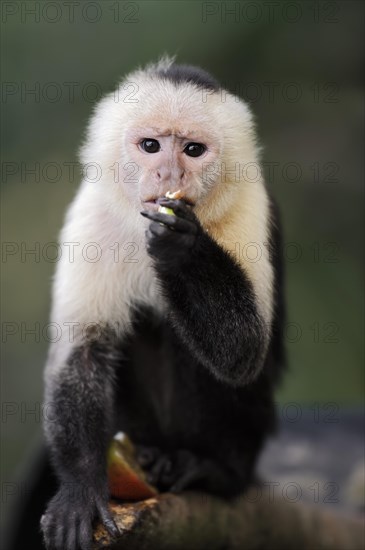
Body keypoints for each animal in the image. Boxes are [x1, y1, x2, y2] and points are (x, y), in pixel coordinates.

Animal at [39, 58, 284, 548]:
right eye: (150, 146)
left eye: (193, 150)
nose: (170, 177)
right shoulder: (91, 212)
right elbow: (83, 351)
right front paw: (80, 489)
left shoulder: (248, 202)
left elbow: (244, 351)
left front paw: (181, 247)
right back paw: (151, 454)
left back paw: (214, 469)